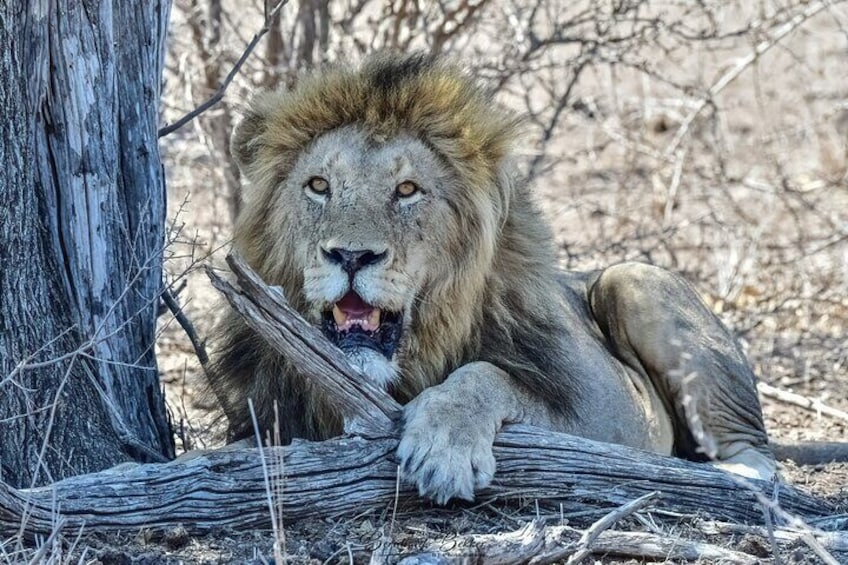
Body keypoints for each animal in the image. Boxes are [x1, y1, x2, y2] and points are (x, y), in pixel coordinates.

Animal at [209, 53, 813, 504]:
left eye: (407, 190)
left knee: (756, 453)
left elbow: (487, 374)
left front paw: (443, 448)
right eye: (318, 186)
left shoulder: (608, 416)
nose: (351, 256)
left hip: (633, 279)